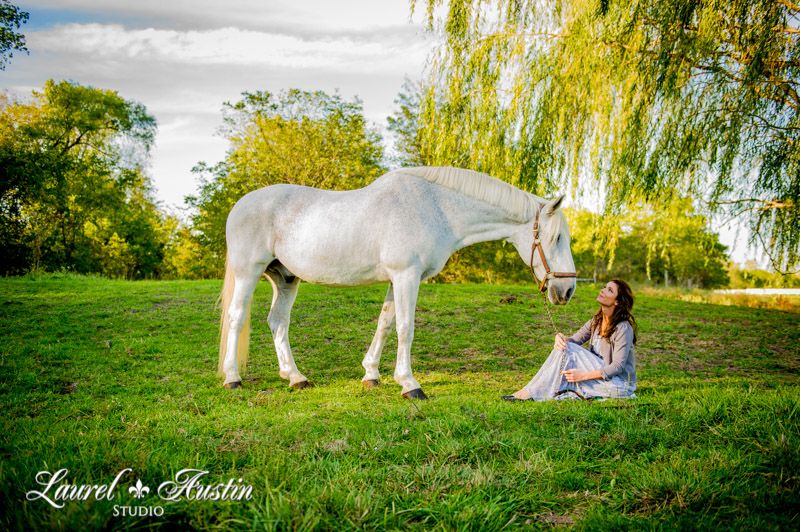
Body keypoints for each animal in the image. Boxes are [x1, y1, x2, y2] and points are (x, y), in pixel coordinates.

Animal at [216, 168, 572, 396]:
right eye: (556, 238)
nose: (566, 290)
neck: (435, 208)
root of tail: (239, 206)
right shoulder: (406, 276)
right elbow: (405, 327)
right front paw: (409, 384)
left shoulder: (396, 279)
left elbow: (385, 323)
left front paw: (371, 375)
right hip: (249, 273)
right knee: (237, 317)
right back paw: (232, 378)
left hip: (286, 278)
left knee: (277, 321)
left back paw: (295, 378)